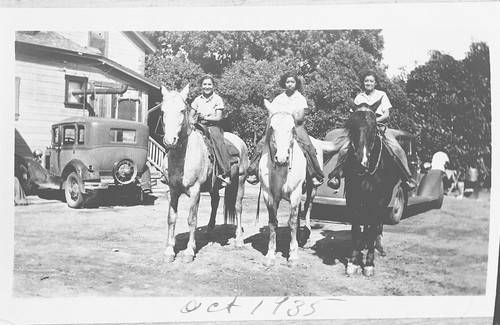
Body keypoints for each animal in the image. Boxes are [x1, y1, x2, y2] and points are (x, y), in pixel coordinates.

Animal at [161, 85, 249, 262]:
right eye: (163, 110)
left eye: (182, 110)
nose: (169, 141)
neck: (182, 158)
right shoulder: (172, 190)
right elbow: (171, 218)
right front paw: (169, 252)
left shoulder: (195, 191)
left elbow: (191, 220)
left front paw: (189, 252)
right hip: (214, 186)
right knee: (215, 202)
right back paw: (209, 230)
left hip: (241, 181)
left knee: (238, 207)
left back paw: (239, 240)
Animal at [258, 99, 336, 266]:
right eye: (272, 127)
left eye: (292, 127)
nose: (282, 159)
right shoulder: (268, 195)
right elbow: (273, 222)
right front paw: (270, 255)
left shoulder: (295, 193)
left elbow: (292, 222)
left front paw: (293, 256)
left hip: (312, 190)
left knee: (307, 209)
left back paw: (307, 238)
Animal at [342, 107, 400, 274]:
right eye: (352, 126)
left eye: (374, 127)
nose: (361, 162)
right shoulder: (353, 197)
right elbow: (356, 228)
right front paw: (353, 262)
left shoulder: (379, 199)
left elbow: (374, 227)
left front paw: (369, 264)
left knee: (377, 224)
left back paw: (378, 246)